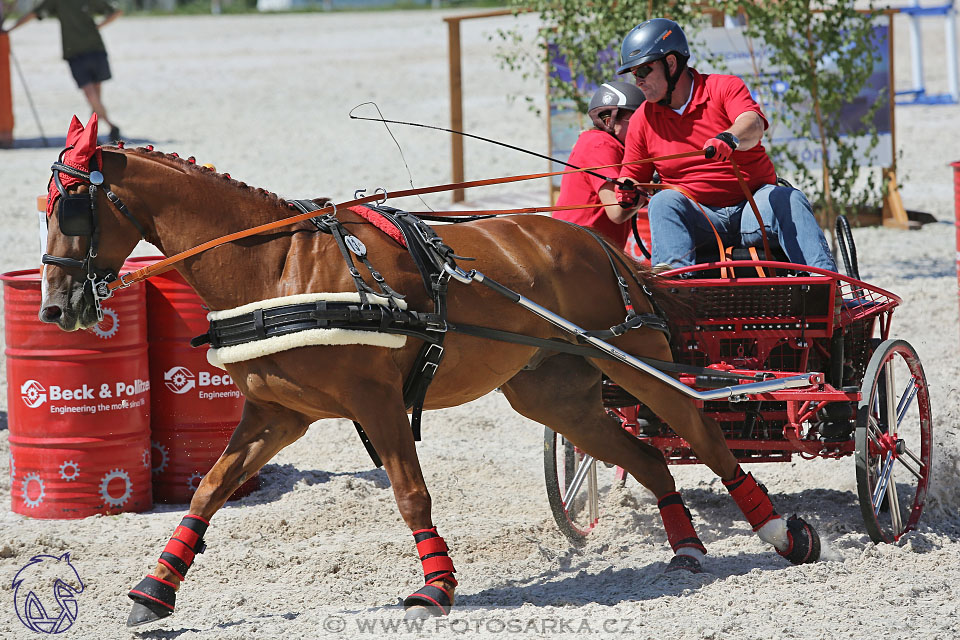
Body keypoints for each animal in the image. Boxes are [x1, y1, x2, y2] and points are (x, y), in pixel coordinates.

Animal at [37, 115, 816, 624]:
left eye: (72, 207)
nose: (56, 307)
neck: (277, 269)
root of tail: (602, 244)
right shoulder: (276, 414)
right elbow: (207, 489)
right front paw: (154, 590)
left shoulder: (376, 403)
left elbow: (411, 495)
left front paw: (435, 588)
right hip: (557, 397)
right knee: (649, 457)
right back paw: (685, 547)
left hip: (636, 361)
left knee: (699, 431)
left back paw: (781, 533)